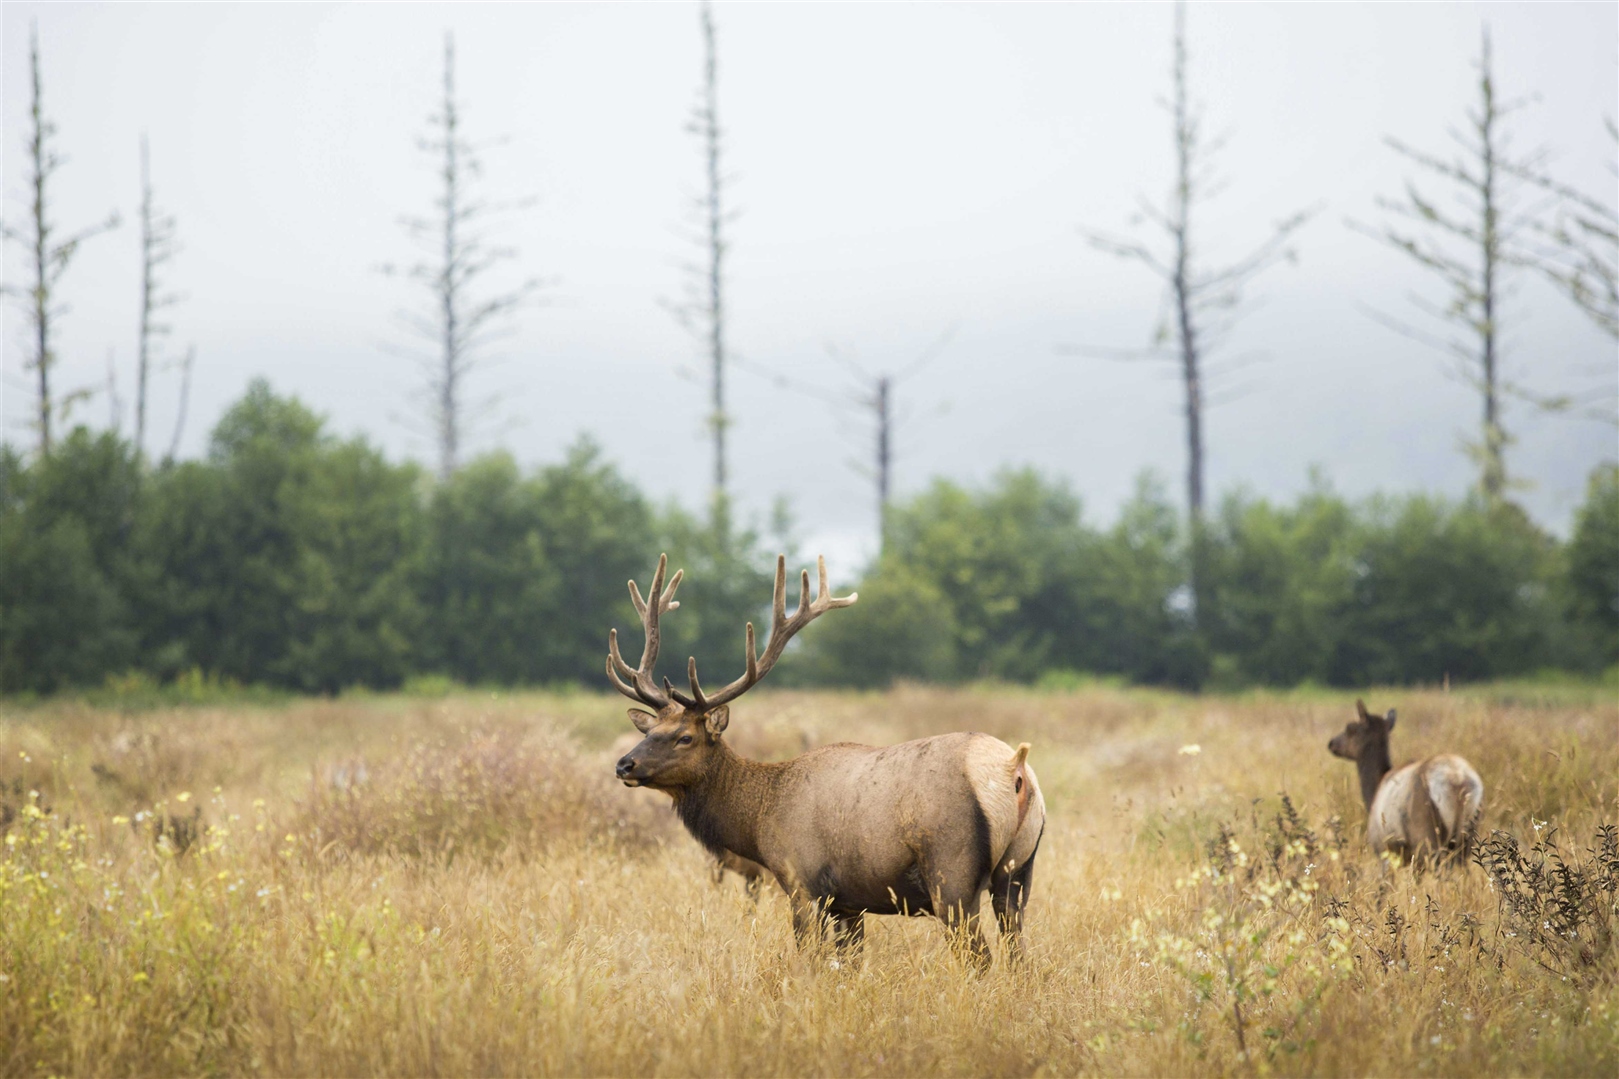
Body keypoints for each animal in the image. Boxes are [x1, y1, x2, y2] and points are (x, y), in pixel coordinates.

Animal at [608, 554, 1045, 967]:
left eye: (685, 737)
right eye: (648, 732)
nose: (624, 765)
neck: (760, 821)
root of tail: (1014, 768)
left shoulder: (802, 882)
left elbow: (811, 959)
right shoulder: (849, 902)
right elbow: (849, 962)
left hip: (952, 874)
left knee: (981, 957)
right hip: (1018, 872)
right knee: (1019, 955)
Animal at [1327, 699, 1483, 871]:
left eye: (1350, 728)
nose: (1331, 743)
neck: (1373, 793)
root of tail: (1458, 781)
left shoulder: (1383, 850)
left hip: (1425, 835)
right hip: (1466, 835)